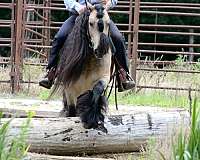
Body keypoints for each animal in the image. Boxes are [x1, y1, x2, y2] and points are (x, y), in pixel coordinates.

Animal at [52, 3, 112, 132]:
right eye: (91, 23)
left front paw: (92, 119)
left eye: (108, 23)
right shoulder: (69, 88)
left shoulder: (104, 77)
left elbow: (97, 90)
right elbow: (71, 110)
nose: (101, 50)